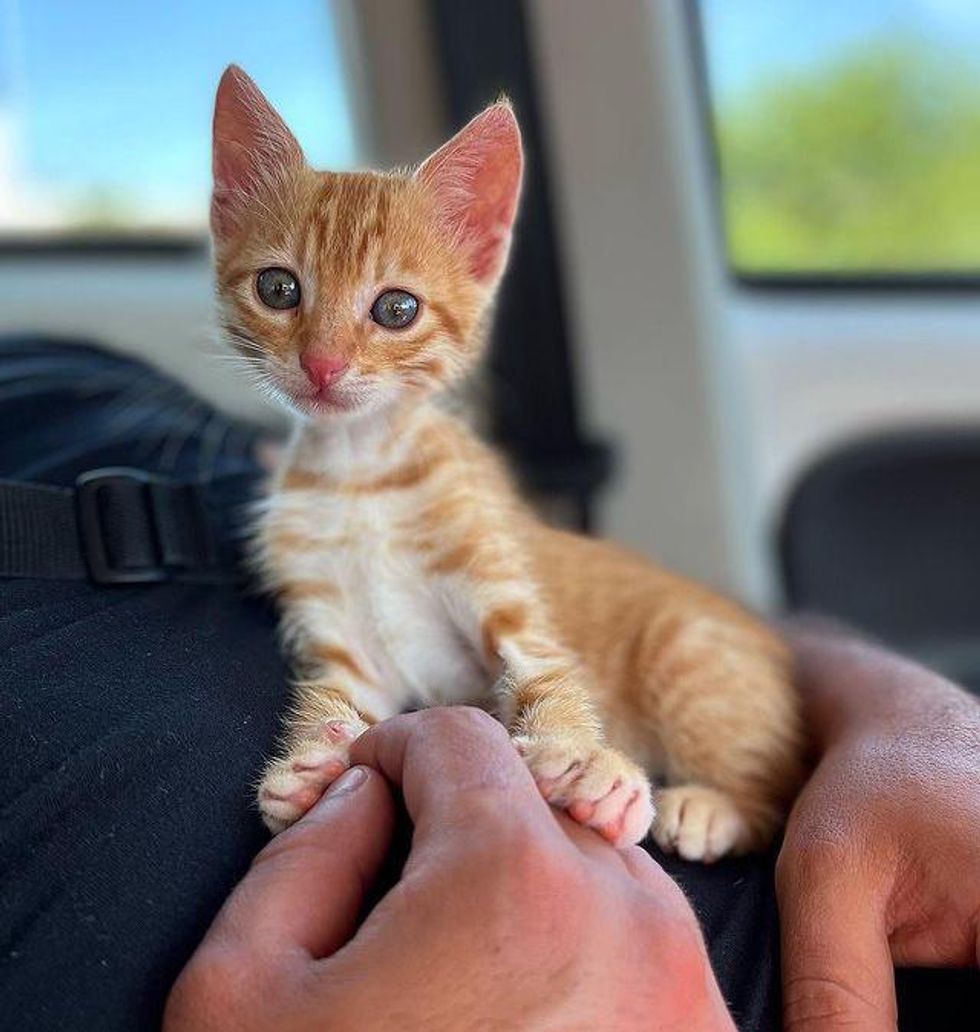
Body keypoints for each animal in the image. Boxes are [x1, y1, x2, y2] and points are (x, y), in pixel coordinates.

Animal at [211, 64, 800, 854]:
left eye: (396, 309)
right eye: (279, 289)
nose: (323, 365)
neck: (363, 474)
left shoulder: (506, 595)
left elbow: (548, 676)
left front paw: (588, 764)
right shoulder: (337, 638)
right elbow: (329, 696)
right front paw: (309, 765)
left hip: (690, 655)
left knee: (777, 800)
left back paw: (711, 805)